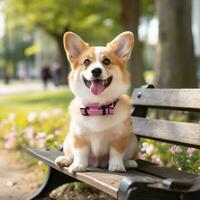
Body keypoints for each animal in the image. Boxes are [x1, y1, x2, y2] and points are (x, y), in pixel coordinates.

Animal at [55, 31, 139, 173]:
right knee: (70, 154)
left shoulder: (121, 137)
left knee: (128, 155)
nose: (96, 70)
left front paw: (116, 166)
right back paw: (65, 160)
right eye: (86, 62)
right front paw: (78, 165)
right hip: (67, 140)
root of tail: (97, 163)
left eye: (106, 61)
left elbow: (116, 152)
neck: (97, 107)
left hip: (133, 140)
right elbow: (80, 153)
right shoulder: (78, 136)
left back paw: (129, 162)